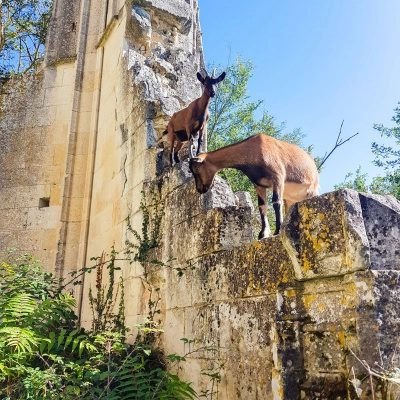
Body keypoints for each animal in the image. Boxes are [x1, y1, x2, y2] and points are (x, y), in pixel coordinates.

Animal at [189, 136, 320, 238]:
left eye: (196, 169)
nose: (200, 189)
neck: (254, 149)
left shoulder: (278, 178)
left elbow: (276, 202)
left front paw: (277, 231)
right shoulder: (258, 185)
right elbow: (262, 206)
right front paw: (263, 234)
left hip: (312, 190)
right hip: (290, 198)